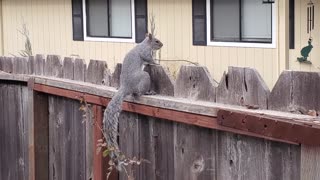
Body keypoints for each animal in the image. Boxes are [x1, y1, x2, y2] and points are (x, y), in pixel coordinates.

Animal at [102, 32, 162, 169]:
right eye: (156, 41)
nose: (162, 45)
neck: (145, 44)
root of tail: (125, 86)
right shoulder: (145, 52)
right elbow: (149, 59)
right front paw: (157, 63)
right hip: (144, 77)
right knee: (139, 92)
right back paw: (149, 92)